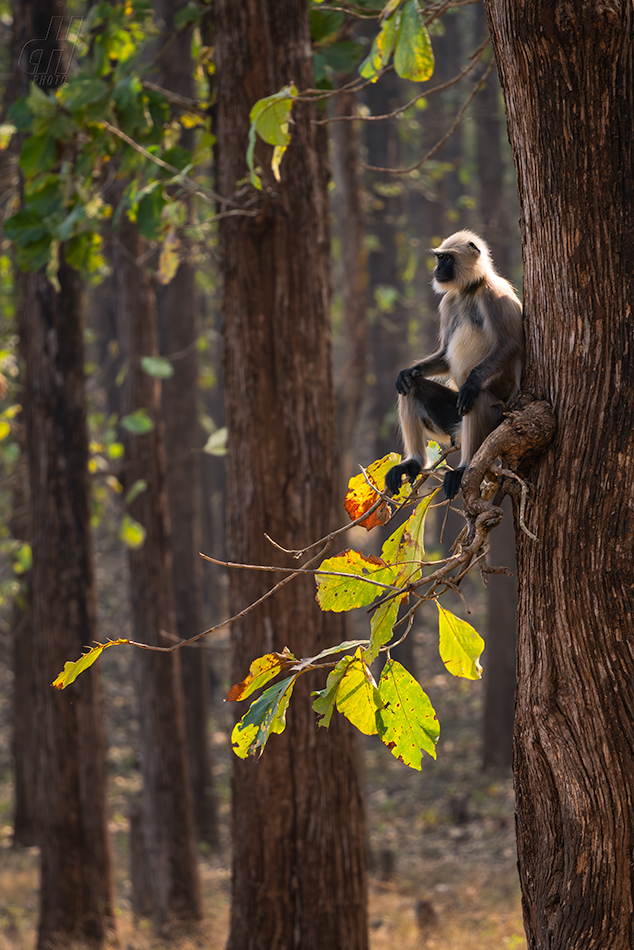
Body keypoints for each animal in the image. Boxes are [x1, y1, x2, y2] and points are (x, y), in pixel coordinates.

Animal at [382, 231, 520, 502]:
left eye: (445, 259)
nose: (437, 269)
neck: (469, 290)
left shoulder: (494, 293)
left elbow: (510, 344)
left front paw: (473, 381)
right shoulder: (448, 301)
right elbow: (445, 356)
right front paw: (406, 372)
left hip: (498, 412)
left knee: (475, 398)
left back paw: (464, 468)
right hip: (449, 420)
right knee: (411, 388)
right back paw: (414, 462)